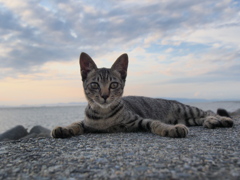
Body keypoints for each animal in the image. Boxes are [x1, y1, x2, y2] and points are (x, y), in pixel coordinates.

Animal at [51, 52, 233, 139]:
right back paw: (211, 122)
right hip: (187, 118)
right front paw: (64, 128)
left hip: (185, 110)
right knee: (200, 118)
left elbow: (156, 124)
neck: (104, 116)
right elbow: (76, 123)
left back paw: (221, 119)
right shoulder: (88, 123)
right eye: (95, 85)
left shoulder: (140, 120)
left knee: (207, 111)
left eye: (113, 85)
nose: (104, 95)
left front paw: (170, 129)